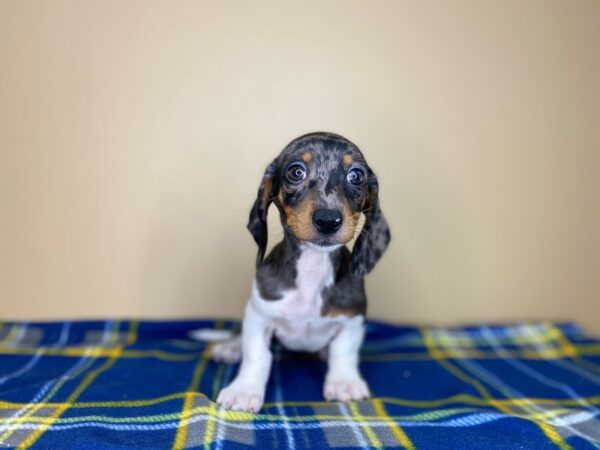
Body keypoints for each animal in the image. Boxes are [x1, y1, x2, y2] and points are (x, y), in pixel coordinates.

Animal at [205, 131, 390, 412]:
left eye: (356, 175)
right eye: (296, 171)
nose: (328, 220)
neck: (312, 270)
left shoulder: (352, 318)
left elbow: (343, 351)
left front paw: (344, 382)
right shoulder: (259, 316)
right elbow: (257, 356)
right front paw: (244, 390)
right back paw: (230, 348)